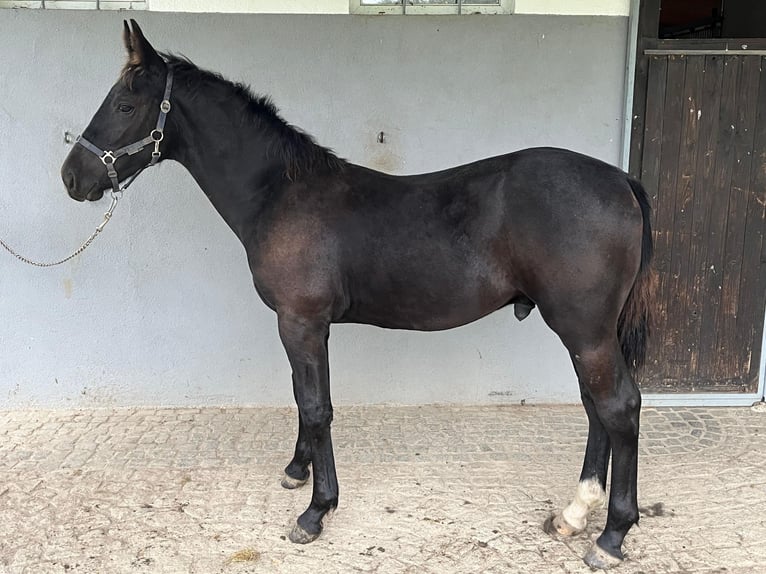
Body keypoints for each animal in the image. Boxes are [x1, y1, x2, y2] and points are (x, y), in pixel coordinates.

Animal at [63, 22, 656, 572]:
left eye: (124, 104)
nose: (72, 177)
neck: (281, 194)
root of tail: (621, 179)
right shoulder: (305, 326)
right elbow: (303, 397)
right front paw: (297, 472)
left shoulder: (300, 322)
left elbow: (316, 406)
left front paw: (315, 511)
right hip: (588, 332)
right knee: (595, 407)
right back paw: (575, 514)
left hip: (584, 329)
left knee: (618, 406)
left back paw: (611, 536)